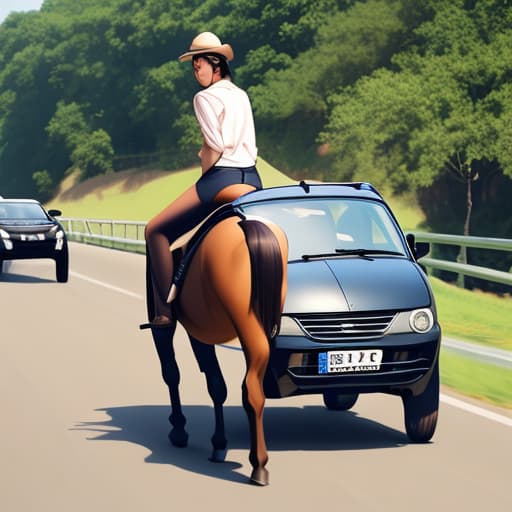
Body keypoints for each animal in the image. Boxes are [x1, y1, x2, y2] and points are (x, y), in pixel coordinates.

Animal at [146, 214, 288, 486]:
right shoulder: (202, 332)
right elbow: (217, 386)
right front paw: (219, 444)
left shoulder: (184, 332)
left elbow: (174, 373)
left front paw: (179, 430)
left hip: (244, 320)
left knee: (250, 388)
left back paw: (258, 465)